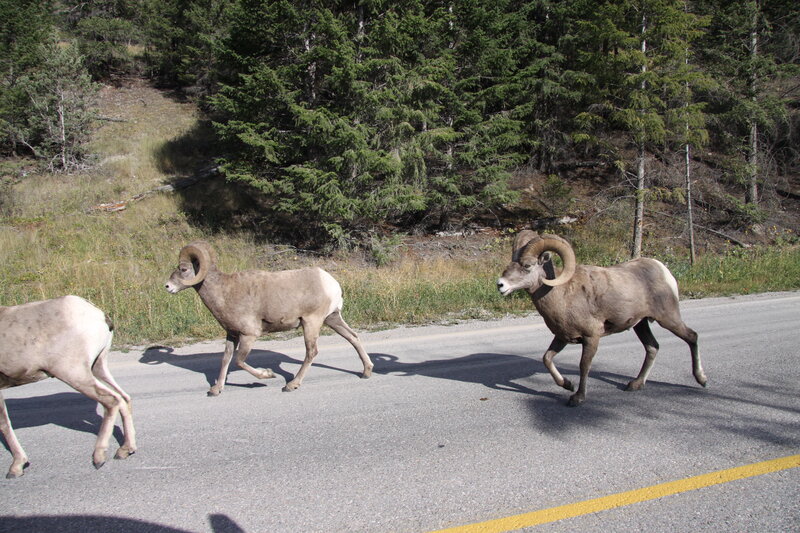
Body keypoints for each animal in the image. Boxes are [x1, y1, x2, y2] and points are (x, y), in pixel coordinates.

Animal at [0, 295, 136, 478]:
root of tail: (100, 316)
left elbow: (4, 424)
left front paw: (16, 468)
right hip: (97, 366)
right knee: (123, 398)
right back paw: (125, 450)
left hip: (73, 373)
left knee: (111, 400)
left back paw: (99, 457)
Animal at [165, 241, 373, 396]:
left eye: (183, 269)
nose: (167, 287)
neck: (225, 293)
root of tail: (331, 283)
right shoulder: (231, 334)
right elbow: (225, 359)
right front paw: (216, 390)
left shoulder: (249, 335)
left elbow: (239, 361)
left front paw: (267, 375)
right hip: (332, 319)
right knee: (353, 337)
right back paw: (366, 372)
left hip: (311, 323)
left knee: (311, 352)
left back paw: (291, 385)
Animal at [496, 230, 707, 406]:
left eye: (527, 266)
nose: (500, 284)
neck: (562, 295)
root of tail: (663, 270)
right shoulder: (562, 337)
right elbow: (547, 358)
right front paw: (568, 385)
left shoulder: (591, 338)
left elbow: (584, 365)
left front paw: (577, 398)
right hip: (641, 325)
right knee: (652, 347)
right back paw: (635, 385)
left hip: (668, 318)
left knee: (692, 337)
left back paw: (702, 379)